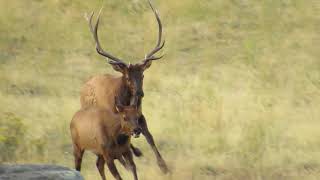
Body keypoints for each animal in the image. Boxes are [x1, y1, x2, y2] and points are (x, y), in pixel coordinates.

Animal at [80, 0, 170, 174]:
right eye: (128, 77)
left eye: (142, 75)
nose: (140, 94)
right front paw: (134, 157)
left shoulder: (140, 114)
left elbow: (149, 136)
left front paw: (164, 167)